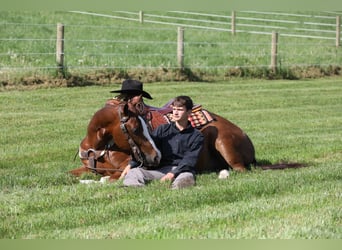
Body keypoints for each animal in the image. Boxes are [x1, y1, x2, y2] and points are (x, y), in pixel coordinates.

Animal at [69, 96, 304, 181]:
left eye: (141, 126)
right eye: (135, 128)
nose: (156, 157)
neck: (99, 148)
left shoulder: (123, 170)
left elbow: (105, 179)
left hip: (223, 142)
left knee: (240, 170)